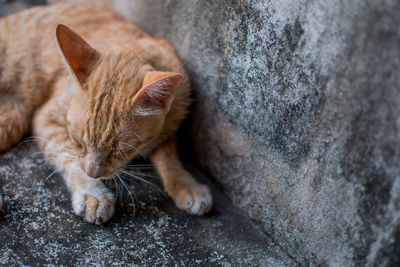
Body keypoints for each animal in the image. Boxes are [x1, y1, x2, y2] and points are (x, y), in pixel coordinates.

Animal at [0, 4, 212, 225]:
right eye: (78, 141)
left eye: (121, 149)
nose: (93, 174)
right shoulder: (46, 119)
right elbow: (68, 156)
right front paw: (92, 192)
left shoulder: (170, 125)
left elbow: (169, 156)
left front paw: (186, 183)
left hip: (11, 121)